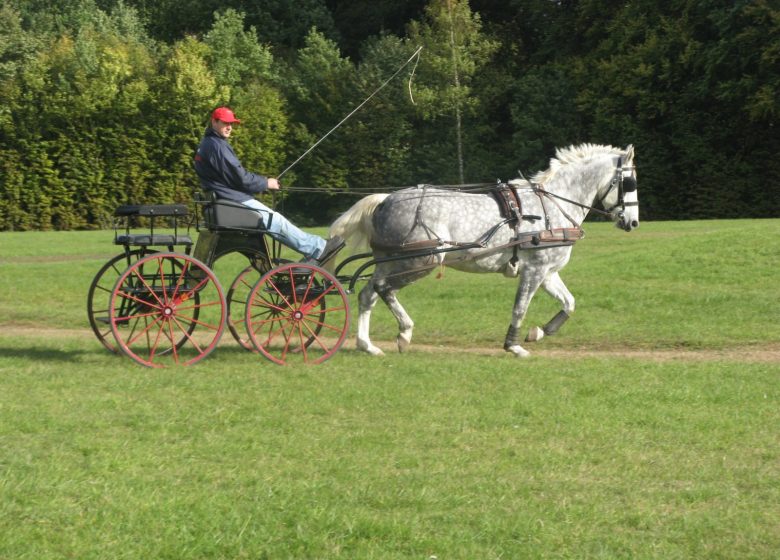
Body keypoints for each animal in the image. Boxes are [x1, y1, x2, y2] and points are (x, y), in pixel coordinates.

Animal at [330, 142, 640, 356]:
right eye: (629, 183)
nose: (633, 221)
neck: (551, 206)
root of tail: (385, 201)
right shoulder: (534, 270)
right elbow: (520, 308)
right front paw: (514, 346)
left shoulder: (548, 272)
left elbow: (569, 303)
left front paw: (540, 332)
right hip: (421, 261)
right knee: (383, 289)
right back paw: (404, 333)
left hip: (390, 261)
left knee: (368, 294)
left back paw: (367, 345)